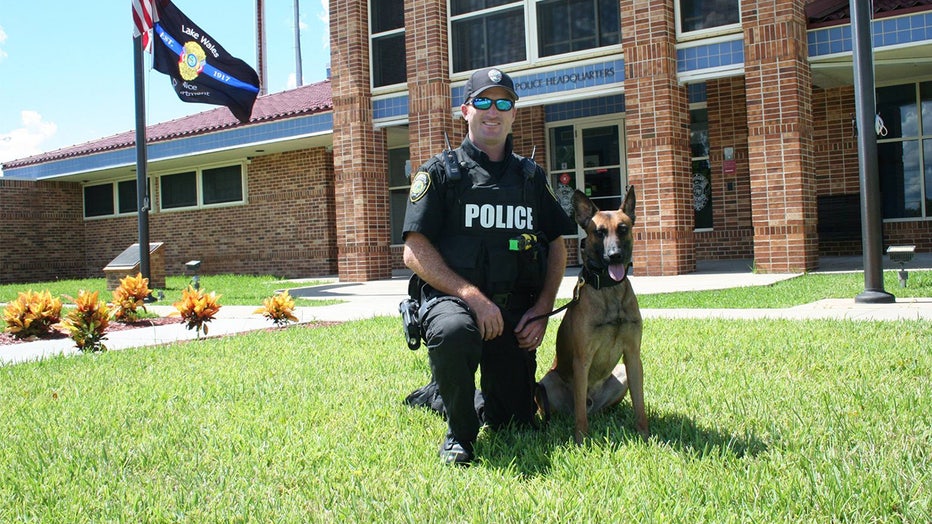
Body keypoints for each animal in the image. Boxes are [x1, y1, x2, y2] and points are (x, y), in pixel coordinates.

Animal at [540, 187, 648, 442]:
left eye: (623, 229)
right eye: (599, 232)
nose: (615, 255)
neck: (609, 289)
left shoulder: (633, 356)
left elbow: (640, 404)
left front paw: (645, 434)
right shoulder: (582, 360)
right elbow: (580, 413)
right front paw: (581, 440)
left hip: (622, 374)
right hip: (546, 382)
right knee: (574, 408)